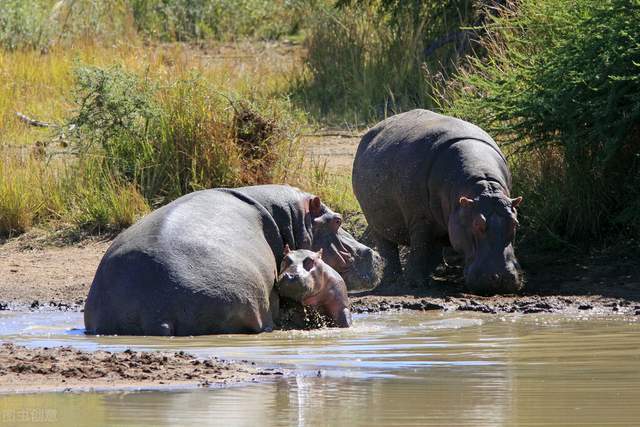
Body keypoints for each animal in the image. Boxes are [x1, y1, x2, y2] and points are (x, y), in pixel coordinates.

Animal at [352, 109, 524, 294]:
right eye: (477, 224)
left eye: (515, 223)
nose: (501, 278)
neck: (482, 184)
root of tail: (373, 130)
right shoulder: (420, 219)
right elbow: (420, 248)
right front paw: (415, 284)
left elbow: (428, 249)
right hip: (375, 221)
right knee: (388, 248)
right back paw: (392, 281)